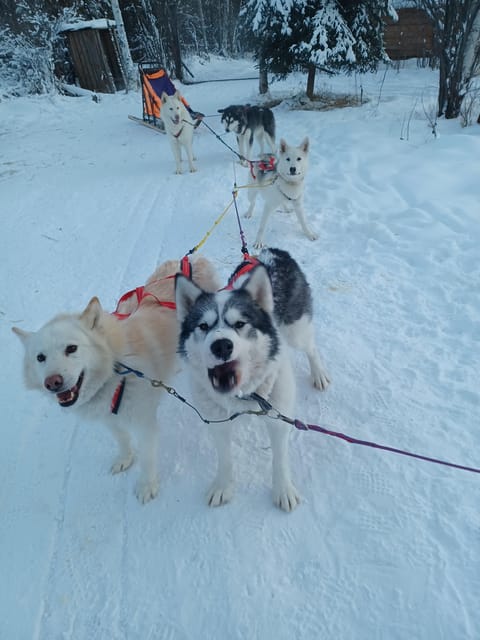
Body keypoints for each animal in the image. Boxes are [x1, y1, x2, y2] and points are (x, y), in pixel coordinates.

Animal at [11, 258, 218, 502]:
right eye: (40, 357)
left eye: (71, 348)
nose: (53, 382)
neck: (116, 370)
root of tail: (190, 259)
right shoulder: (108, 418)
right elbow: (122, 439)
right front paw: (125, 458)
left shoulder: (144, 423)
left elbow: (147, 458)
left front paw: (146, 485)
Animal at [176, 248, 330, 512]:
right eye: (203, 326)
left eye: (240, 323)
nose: (221, 345)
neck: (244, 396)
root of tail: (272, 252)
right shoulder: (217, 422)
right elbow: (225, 459)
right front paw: (223, 486)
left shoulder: (279, 418)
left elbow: (279, 459)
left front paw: (283, 490)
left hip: (297, 331)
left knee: (310, 347)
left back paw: (318, 373)